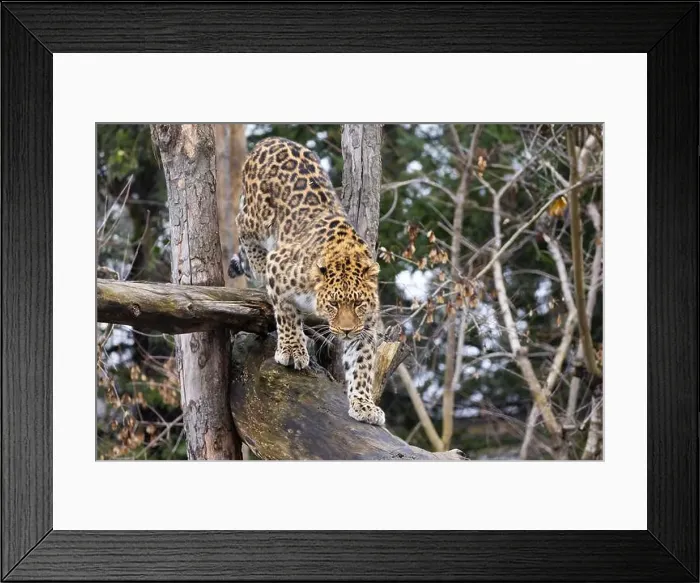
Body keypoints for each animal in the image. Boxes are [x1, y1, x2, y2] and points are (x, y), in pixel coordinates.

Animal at [229, 136, 385, 426]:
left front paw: (364, 405)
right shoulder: (279, 268)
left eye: (358, 304)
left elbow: (361, 365)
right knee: (241, 223)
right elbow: (287, 315)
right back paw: (258, 267)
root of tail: (269, 140)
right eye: (333, 305)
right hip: (259, 217)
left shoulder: (366, 326)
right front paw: (292, 350)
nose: (346, 331)